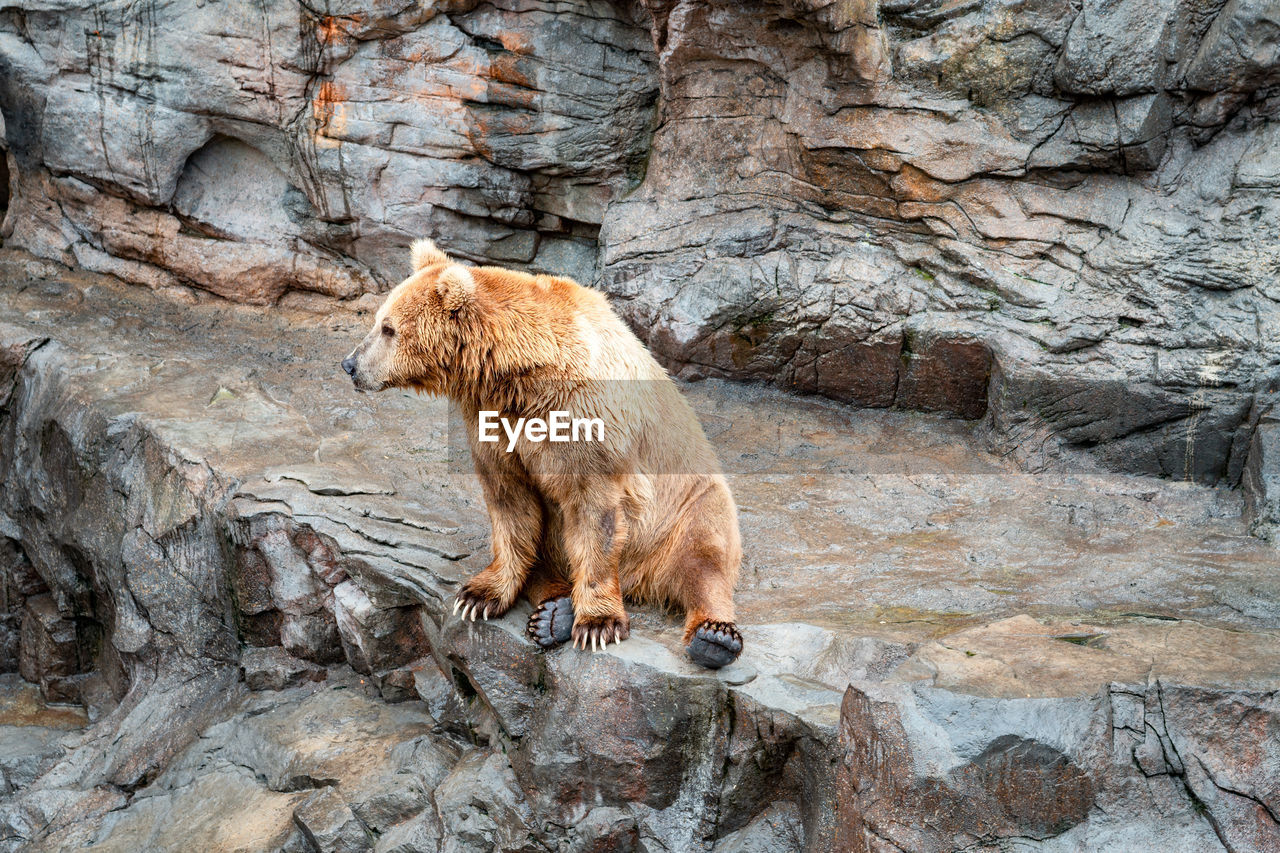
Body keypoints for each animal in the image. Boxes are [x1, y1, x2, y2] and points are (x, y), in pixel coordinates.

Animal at [343, 236, 742, 666]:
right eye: (378, 321)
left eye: (388, 328)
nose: (350, 364)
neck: (521, 374)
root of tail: (639, 580)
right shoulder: (494, 421)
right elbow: (510, 503)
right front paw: (479, 595)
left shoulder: (584, 420)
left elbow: (593, 512)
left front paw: (597, 623)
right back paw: (553, 612)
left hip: (685, 505)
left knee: (704, 557)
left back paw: (714, 635)